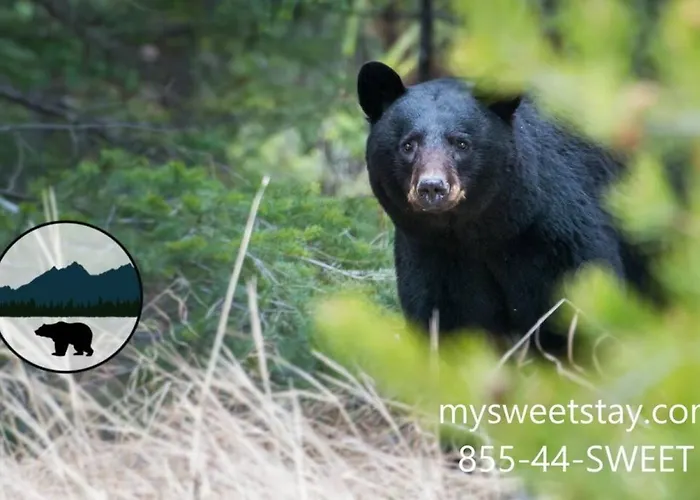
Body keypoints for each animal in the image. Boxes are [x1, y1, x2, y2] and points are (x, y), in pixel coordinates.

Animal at [356, 61, 663, 357]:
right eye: (408, 145)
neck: (483, 233)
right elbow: (446, 320)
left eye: (462, 143)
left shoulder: (558, 237)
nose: (432, 187)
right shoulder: (432, 254)